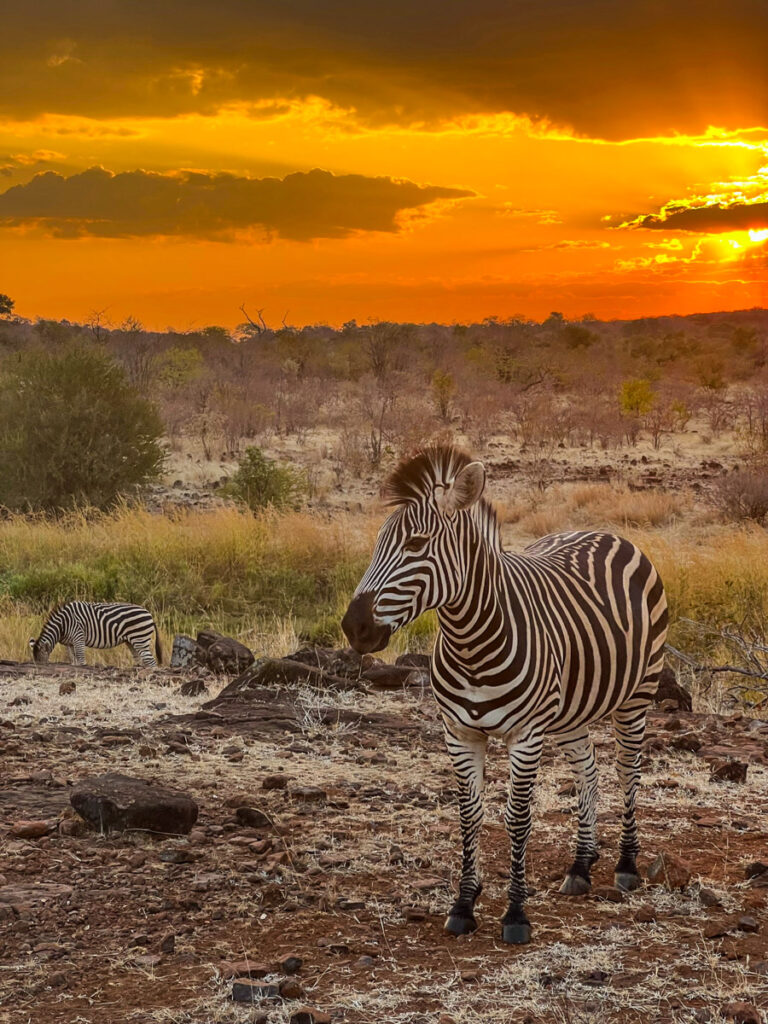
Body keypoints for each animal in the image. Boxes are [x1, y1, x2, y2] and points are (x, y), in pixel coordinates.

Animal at [30, 602, 162, 667]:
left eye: (41, 661)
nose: (38, 667)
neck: (62, 625)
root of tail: (149, 614)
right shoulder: (70, 642)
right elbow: (73, 658)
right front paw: (74, 665)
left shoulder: (78, 636)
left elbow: (80, 658)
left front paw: (82, 666)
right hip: (131, 641)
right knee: (140, 659)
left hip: (140, 639)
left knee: (151, 661)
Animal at [342, 446, 667, 942]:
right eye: (378, 543)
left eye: (416, 544)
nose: (353, 628)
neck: (471, 641)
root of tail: (606, 533)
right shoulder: (459, 733)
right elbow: (469, 814)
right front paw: (463, 904)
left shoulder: (526, 734)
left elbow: (517, 817)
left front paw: (515, 913)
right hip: (571, 711)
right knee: (589, 771)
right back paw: (580, 865)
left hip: (637, 695)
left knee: (627, 770)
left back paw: (627, 865)